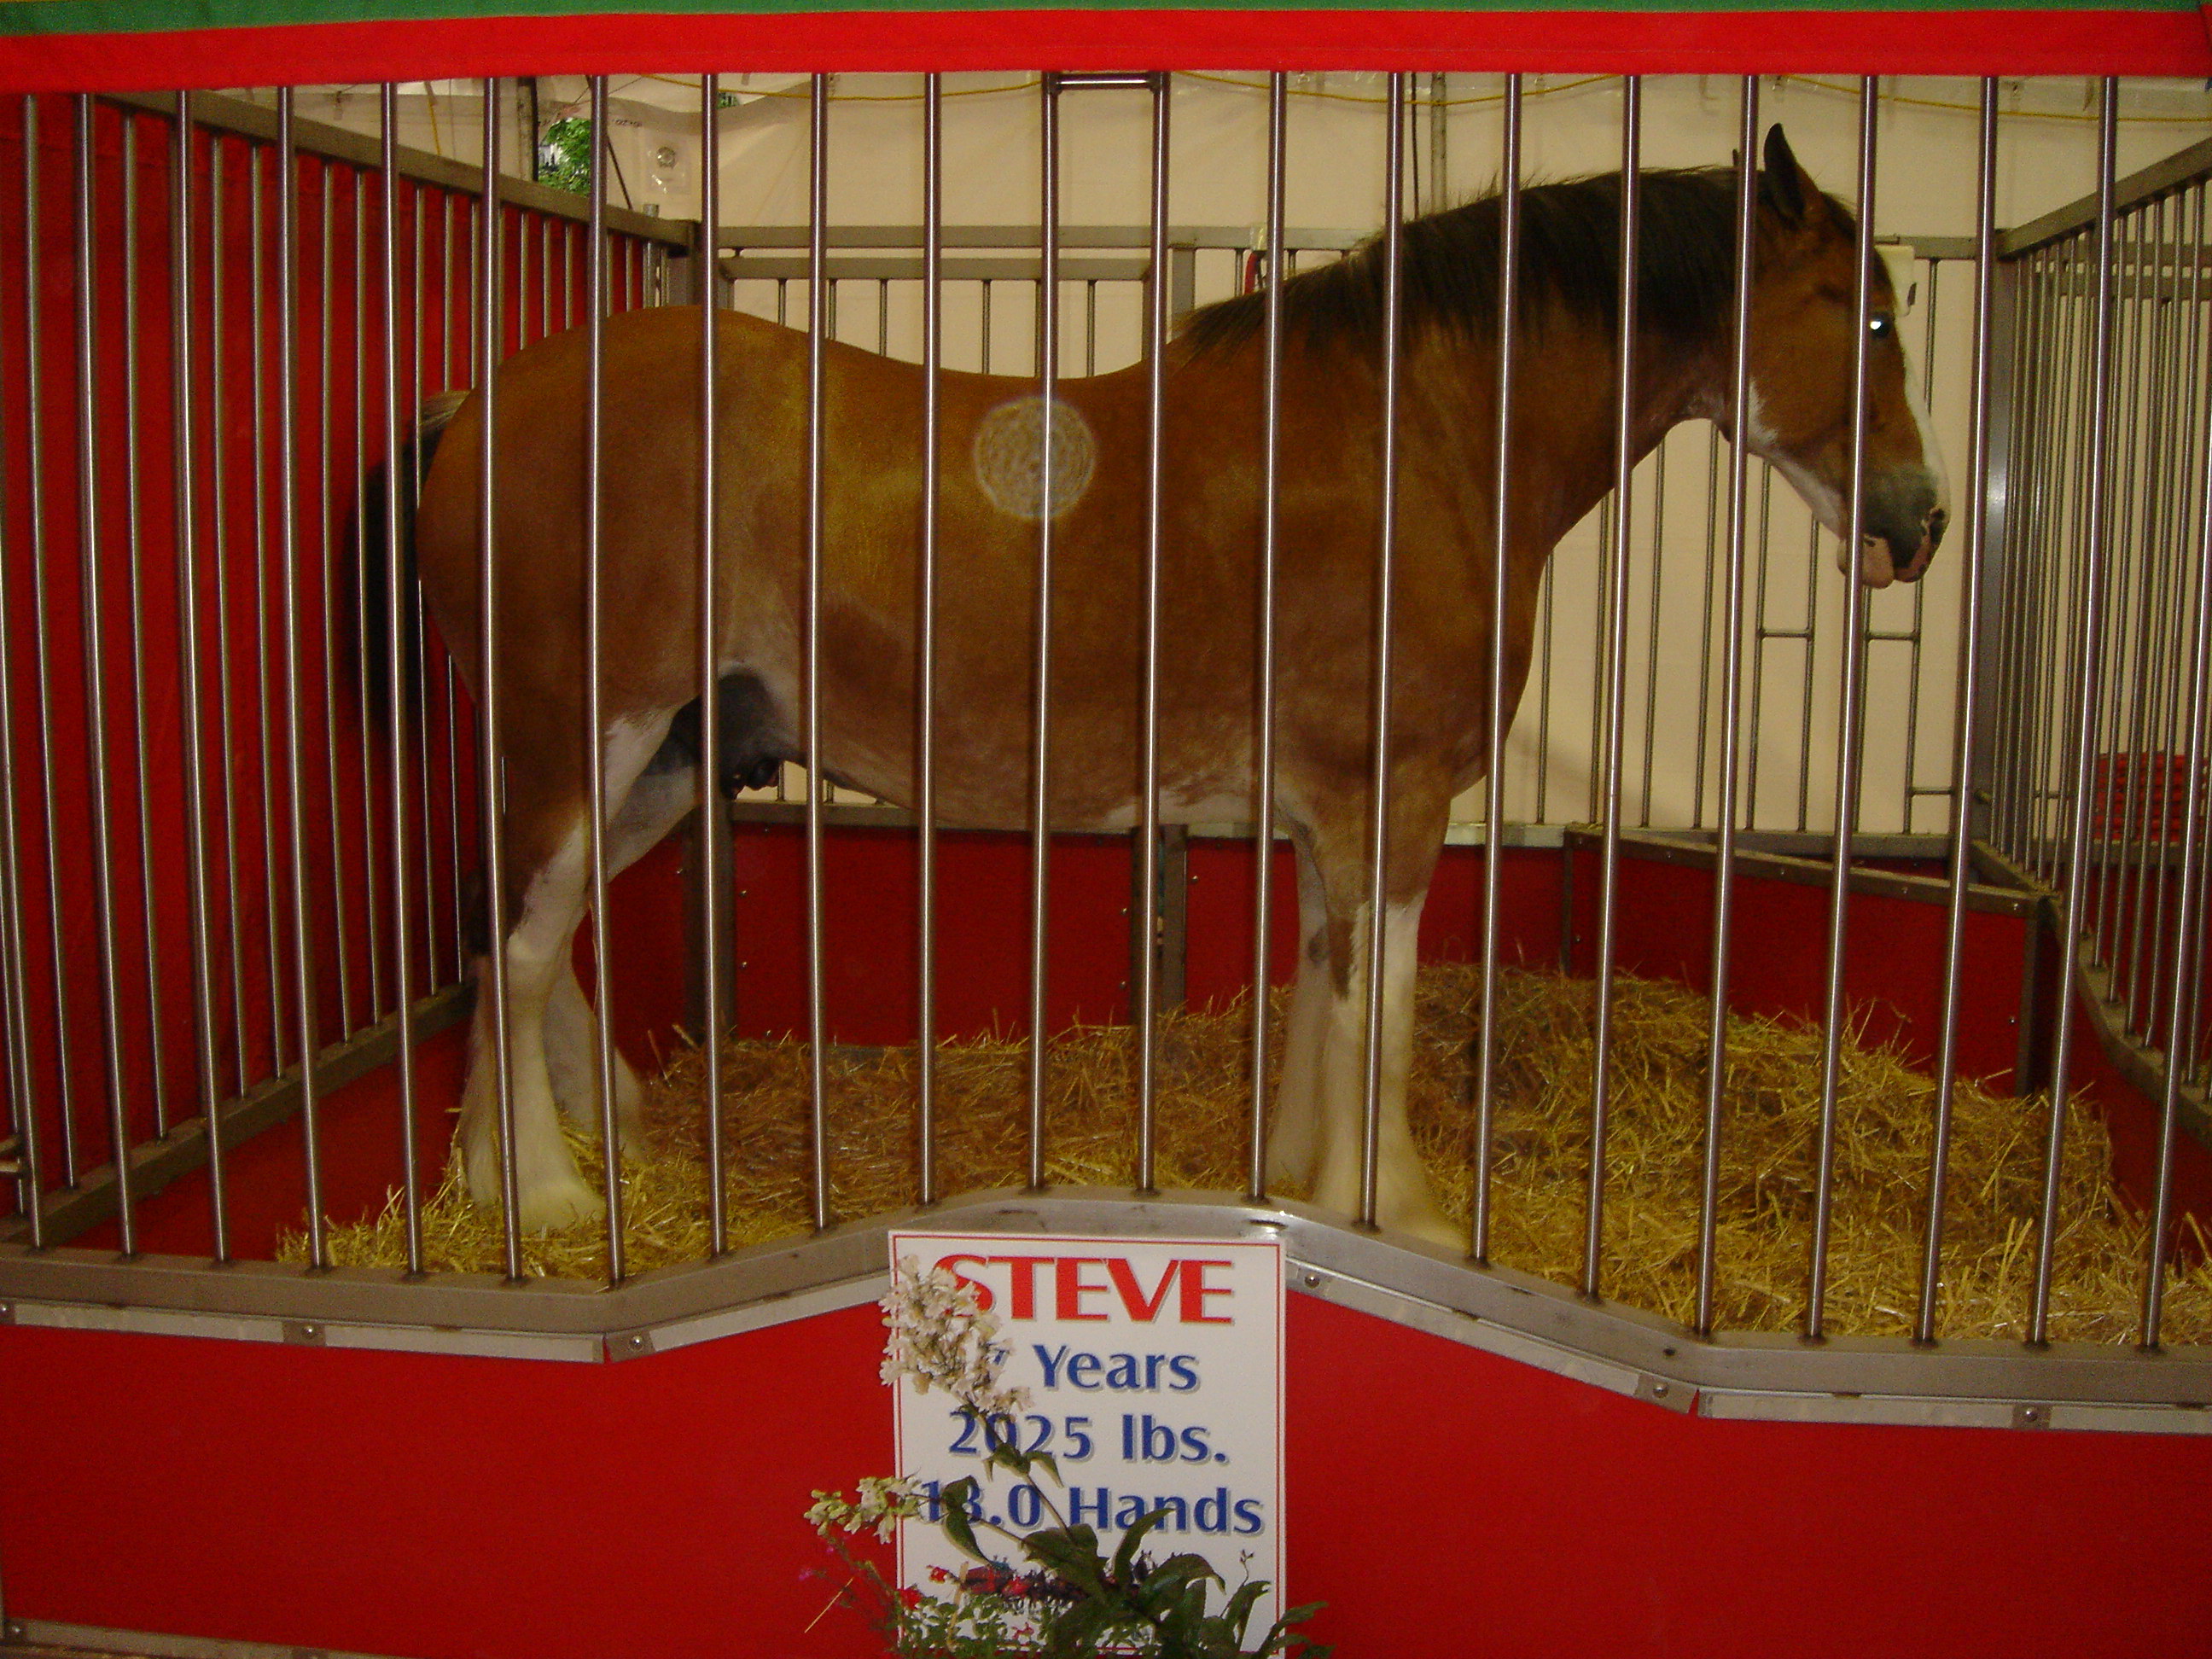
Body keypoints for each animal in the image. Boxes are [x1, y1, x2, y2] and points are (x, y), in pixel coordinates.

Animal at [406, 124, 1948, 1245]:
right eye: (1869, 317)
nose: (1920, 522)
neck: (1419, 437)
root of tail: (481, 409)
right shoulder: (1395, 798)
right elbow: (1383, 1013)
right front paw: (1409, 1217)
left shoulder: (1332, 809)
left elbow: (1326, 985)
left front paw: (1313, 1183)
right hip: (584, 738)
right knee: (525, 947)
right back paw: (549, 1197)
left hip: (670, 755)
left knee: (508, 938)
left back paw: (507, 1168)